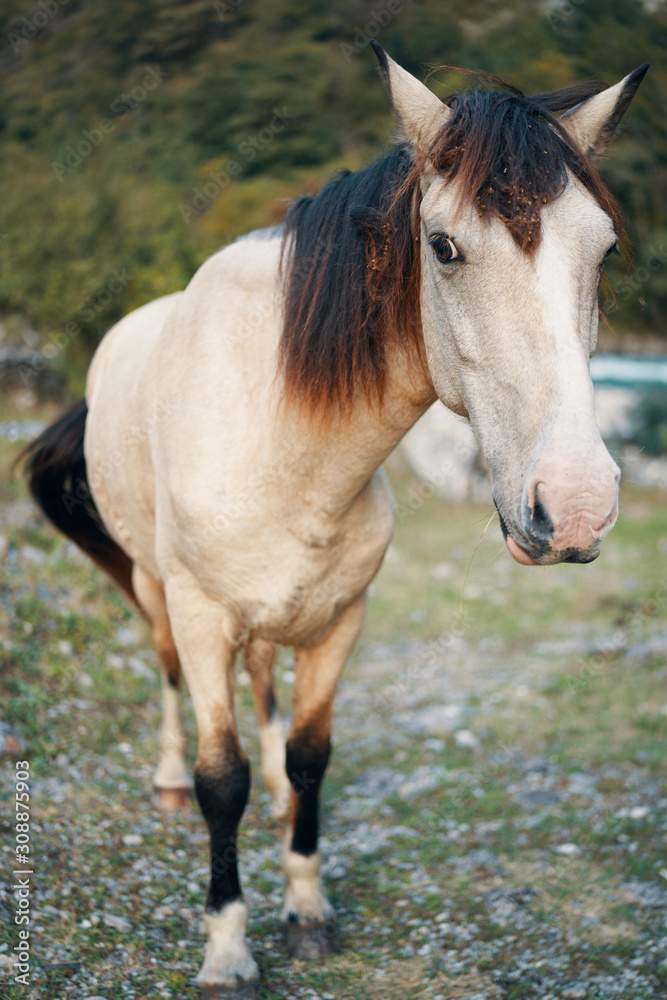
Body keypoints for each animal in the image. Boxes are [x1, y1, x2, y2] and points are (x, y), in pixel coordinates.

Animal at [22, 43, 647, 999]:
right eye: (443, 247)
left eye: (603, 249)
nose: (575, 506)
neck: (286, 441)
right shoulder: (203, 616)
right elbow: (222, 778)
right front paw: (227, 947)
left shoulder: (340, 620)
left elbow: (311, 755)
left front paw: (307, 904)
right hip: (155, 589)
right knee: (166, 677)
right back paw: (165, 781)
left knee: (266, 695)